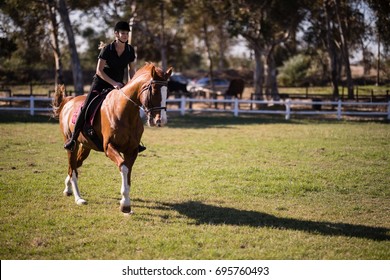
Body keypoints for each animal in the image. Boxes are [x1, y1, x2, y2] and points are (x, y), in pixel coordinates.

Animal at [52, 63, 172, 212]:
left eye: (167, 92)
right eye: (154, 91)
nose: (161, 121)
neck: (125, 112)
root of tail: (68, 101)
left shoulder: (132, 150)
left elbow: (128, 171)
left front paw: (125, 201)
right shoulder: (109, 147)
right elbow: (123, 167)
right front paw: (125, 204)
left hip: (85, 146)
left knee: (74, 165)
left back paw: (67, 189)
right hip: (71, 144)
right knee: (73, 168)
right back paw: (78, 198)